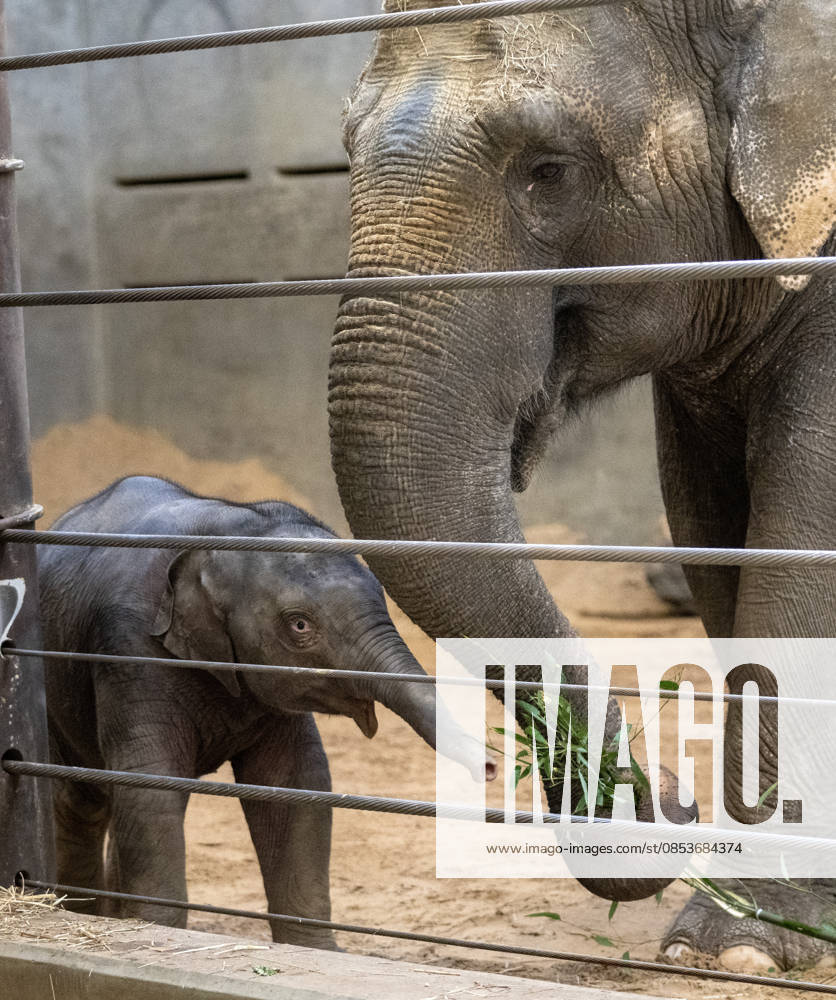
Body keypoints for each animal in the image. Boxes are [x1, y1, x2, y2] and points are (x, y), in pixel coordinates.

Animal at [41, 475, 495, 949]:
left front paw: (313, 949)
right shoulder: (130, 652)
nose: (490, 765)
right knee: (80, 799)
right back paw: (79, 910)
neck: (225, 530)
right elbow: (150, 784)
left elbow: (296, 785)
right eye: (299, 625)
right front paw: (156, 929)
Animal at [329, 0, 835, 972]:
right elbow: (719, 541)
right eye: (343, 145)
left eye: (548, 170)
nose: (669, 794)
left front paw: (735, 946)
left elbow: (803, 556)